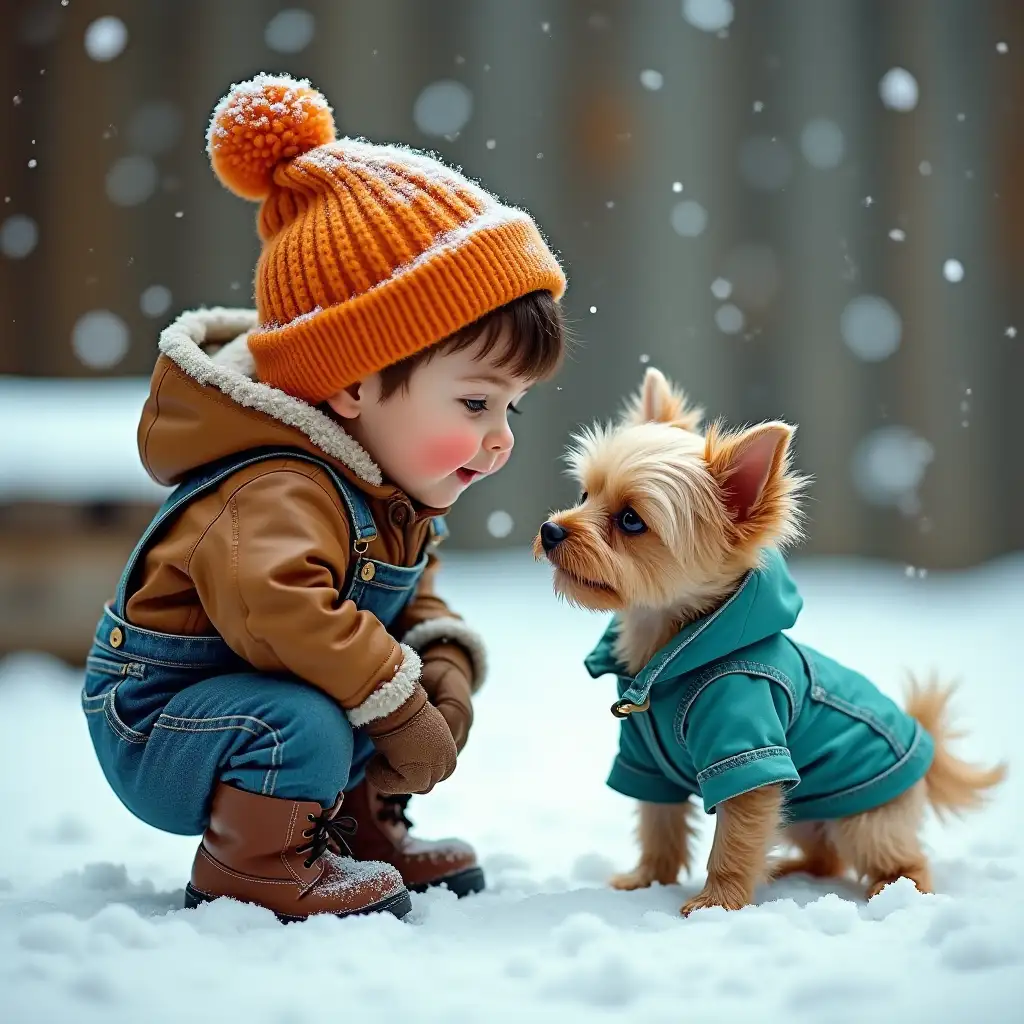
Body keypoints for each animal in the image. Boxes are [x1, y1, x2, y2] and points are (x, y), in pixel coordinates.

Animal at [540, 368, 1003, 913]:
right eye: (584, 495)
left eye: (632, 520)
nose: (550, 530)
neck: (670, 654)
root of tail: (924, 745)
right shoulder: (644, 761)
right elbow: (659, 826)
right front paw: (646, 881)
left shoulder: (750, 758)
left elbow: (734, 842)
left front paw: (715, 904)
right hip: (800, 809)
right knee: (825, 857)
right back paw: (790, 870)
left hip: (864, 818)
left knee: (900, 859)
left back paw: (893, 892)